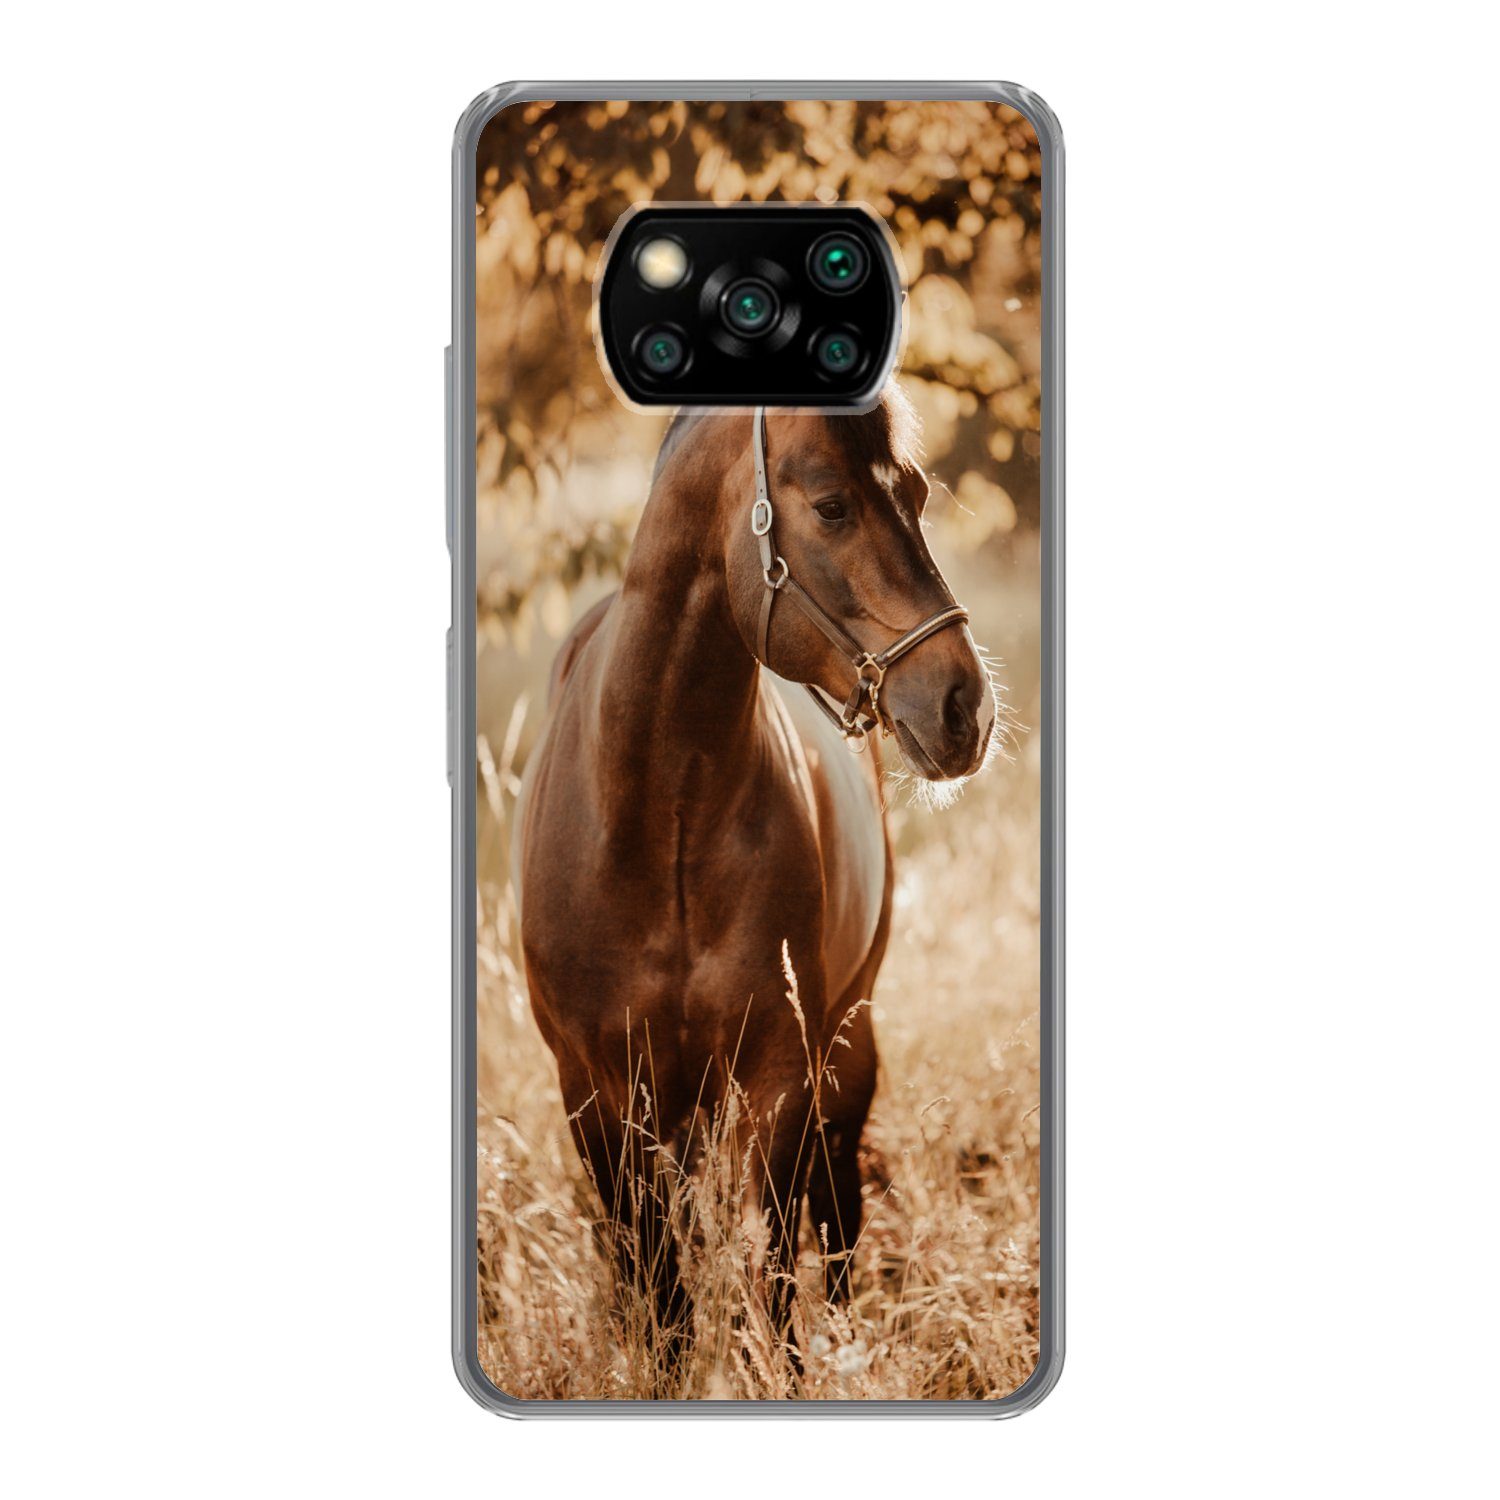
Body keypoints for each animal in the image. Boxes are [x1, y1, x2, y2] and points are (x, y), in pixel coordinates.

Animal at [515, 391, 996, 1364]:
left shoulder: (779, 1077)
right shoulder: (595, 1094)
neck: (657, 819)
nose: (967, 706)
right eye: (833, 506)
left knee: (837, 1212)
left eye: (919, 493)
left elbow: (774, 1281)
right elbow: (661, 1297)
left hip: (843, 1048)